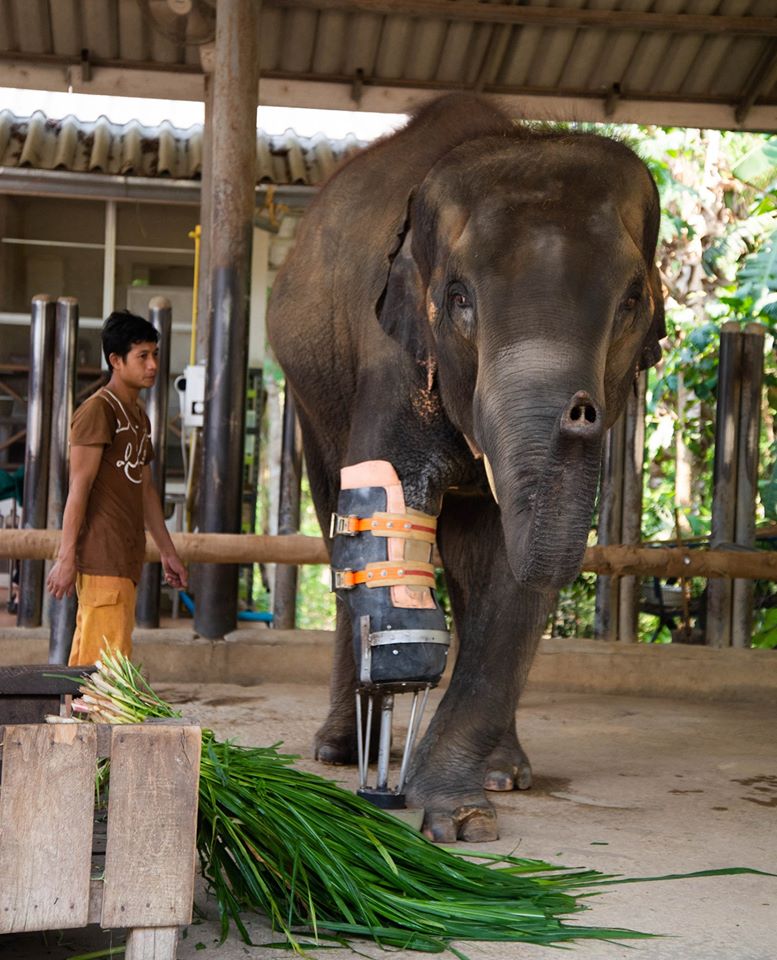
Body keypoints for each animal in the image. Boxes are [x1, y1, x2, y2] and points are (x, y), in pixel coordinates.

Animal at [266, 90, 660, 840]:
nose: (580, 412)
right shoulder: (392, 355)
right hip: (308, 392)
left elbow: (513, 562)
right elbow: (383, 509)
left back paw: (507, 773)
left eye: (630, 302)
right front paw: (436, 804)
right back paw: (339, 749)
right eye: (458, 299)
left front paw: (459, 815)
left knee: (473, 562)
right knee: (336, 524)